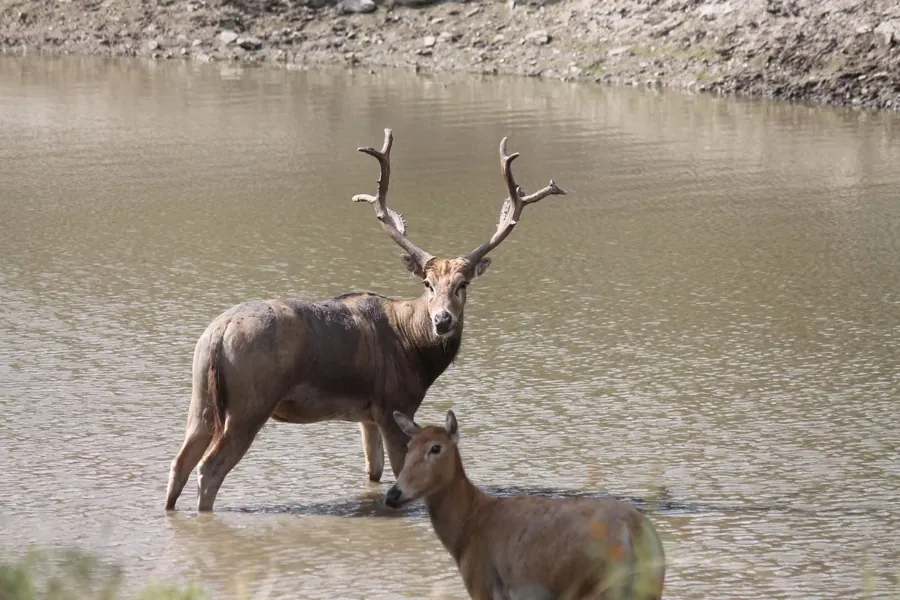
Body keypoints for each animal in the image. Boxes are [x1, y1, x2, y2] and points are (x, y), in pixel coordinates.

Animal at [164, 128, 567, 513]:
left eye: (462, 284)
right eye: (427, 283)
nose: (442, 321)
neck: (414, 349)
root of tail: (218, 334)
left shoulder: (366, 414)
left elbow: (372, 473)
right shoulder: (393, 404)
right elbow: (399, 471)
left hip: (201, 398)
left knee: (179, 462)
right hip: (251, 401)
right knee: (209, 469)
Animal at [386, 410, 666, 600]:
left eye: (436, 448)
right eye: (409, 446)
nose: (393, 494)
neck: (466, 532)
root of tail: (634, 534)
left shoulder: (482, 585)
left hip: (596, 586)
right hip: (649, 587)